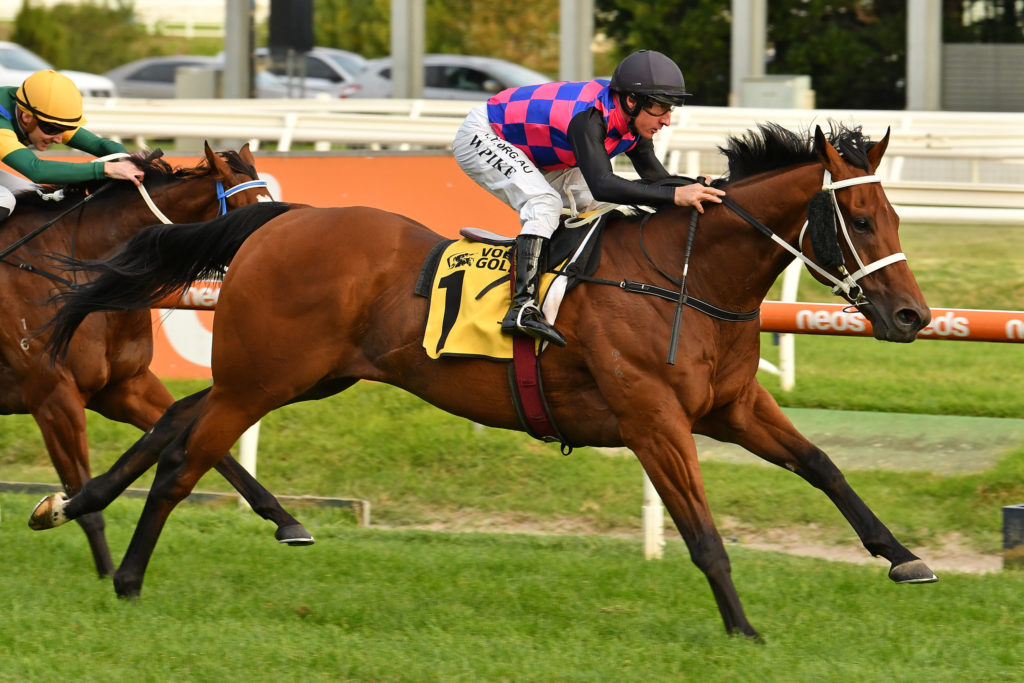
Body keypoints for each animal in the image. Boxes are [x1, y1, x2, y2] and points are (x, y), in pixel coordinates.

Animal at [4, 144, 311, 578]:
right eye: (249, 211)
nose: (285, 262)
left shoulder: (127, 386)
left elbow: (209, 448)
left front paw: (287, 522)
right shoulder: (52, 396)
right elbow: (85, 502)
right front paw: (106, 575)